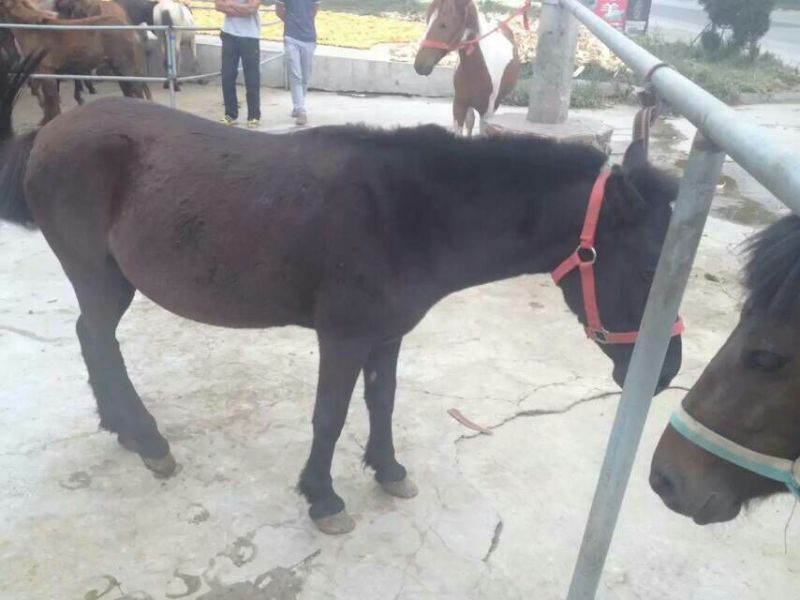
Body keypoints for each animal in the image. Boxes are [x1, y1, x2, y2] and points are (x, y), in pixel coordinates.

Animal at [0, 0, 151, 124]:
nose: (11, 56)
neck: (33, 30)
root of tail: (128, 28)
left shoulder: (46, 70)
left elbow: (51, 98)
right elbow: (49, 98)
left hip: (124, 67)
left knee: (137, 89)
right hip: (116, 68)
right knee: (128, 90)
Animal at [0, 52, 682, 535]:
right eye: (652, 270)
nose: (667, 371)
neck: (408, 212)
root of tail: (46, 135)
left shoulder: (386, 335)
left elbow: (381, 401)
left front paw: (388, 469)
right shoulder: (344, 336)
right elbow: (330, 415)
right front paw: (323, 498)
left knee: (91, 339)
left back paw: (122, 427)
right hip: (98, 275)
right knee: (99, 339)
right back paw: (147, 440)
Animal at [414, 0, 523, 137]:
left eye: (443, 25)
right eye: (428, 20)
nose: (419, 65)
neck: (480, 70)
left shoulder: (487, 111)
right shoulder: (459, 104)